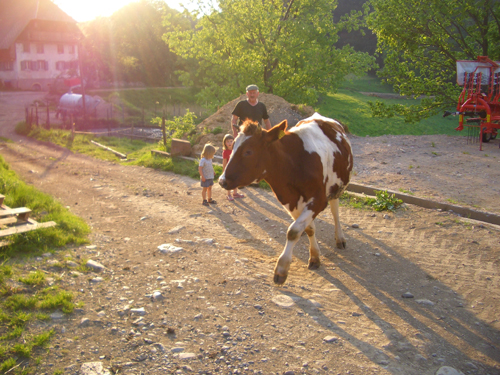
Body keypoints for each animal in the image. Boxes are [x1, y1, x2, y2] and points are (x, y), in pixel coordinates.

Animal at [218, 112, 352, 284]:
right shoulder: (289, 200)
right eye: (232, 146)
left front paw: (281, 268)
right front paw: (315, 256)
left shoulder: (319, 200)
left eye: (248, 151)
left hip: (337, 187)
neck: (294, 163)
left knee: (335, 211)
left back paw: (340, 238)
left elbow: (293, 231)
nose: (221, 180)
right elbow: (308, 228)